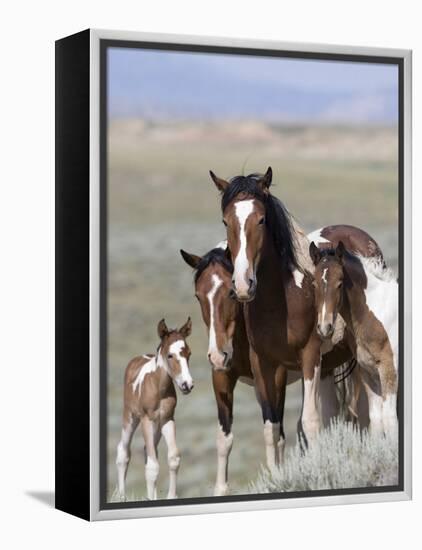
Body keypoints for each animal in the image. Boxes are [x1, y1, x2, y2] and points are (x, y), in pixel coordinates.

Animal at [116, 320, 194, 504]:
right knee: (123, 451)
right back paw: (121, 497)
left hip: (157, 427)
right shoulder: (147, 420)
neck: (159, 388)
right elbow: (152, 466)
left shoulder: (167, 419)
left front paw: (170, 496)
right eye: (170, 355)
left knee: (148, 451)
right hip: (130, 417)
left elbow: (173, 458)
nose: (187, 385)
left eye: (189, 353)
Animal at [310, 244, 398, 438]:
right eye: (314, 283)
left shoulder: (389, 369)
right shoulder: (368, 372)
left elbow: (390, 421)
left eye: (340, 282)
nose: (325, 327)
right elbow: (376, 420)